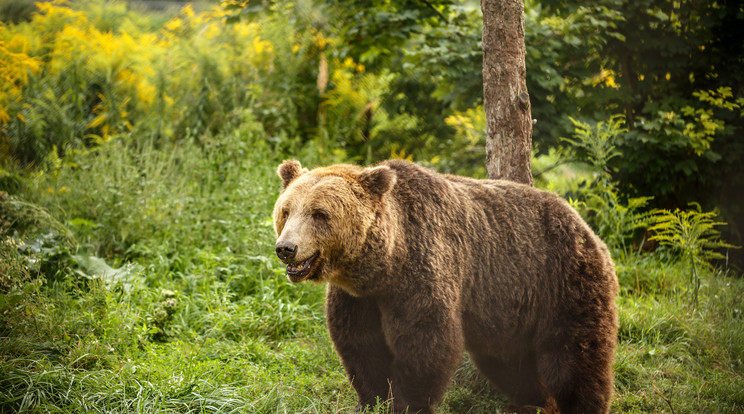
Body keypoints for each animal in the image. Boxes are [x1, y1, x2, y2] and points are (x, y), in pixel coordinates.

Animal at [272, 160, 616, 414]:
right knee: (511, 363)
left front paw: (406, 402)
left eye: (319, 214)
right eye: (286, 211)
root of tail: (584, 225)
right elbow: (361, 345)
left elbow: (426, 341)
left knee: (574, 358)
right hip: (509, 311)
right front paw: (372, 400)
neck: (384, 264)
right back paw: (534, 403)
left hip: (562, 281)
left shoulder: (420, 271)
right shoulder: (358, 298)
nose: (286, 248)